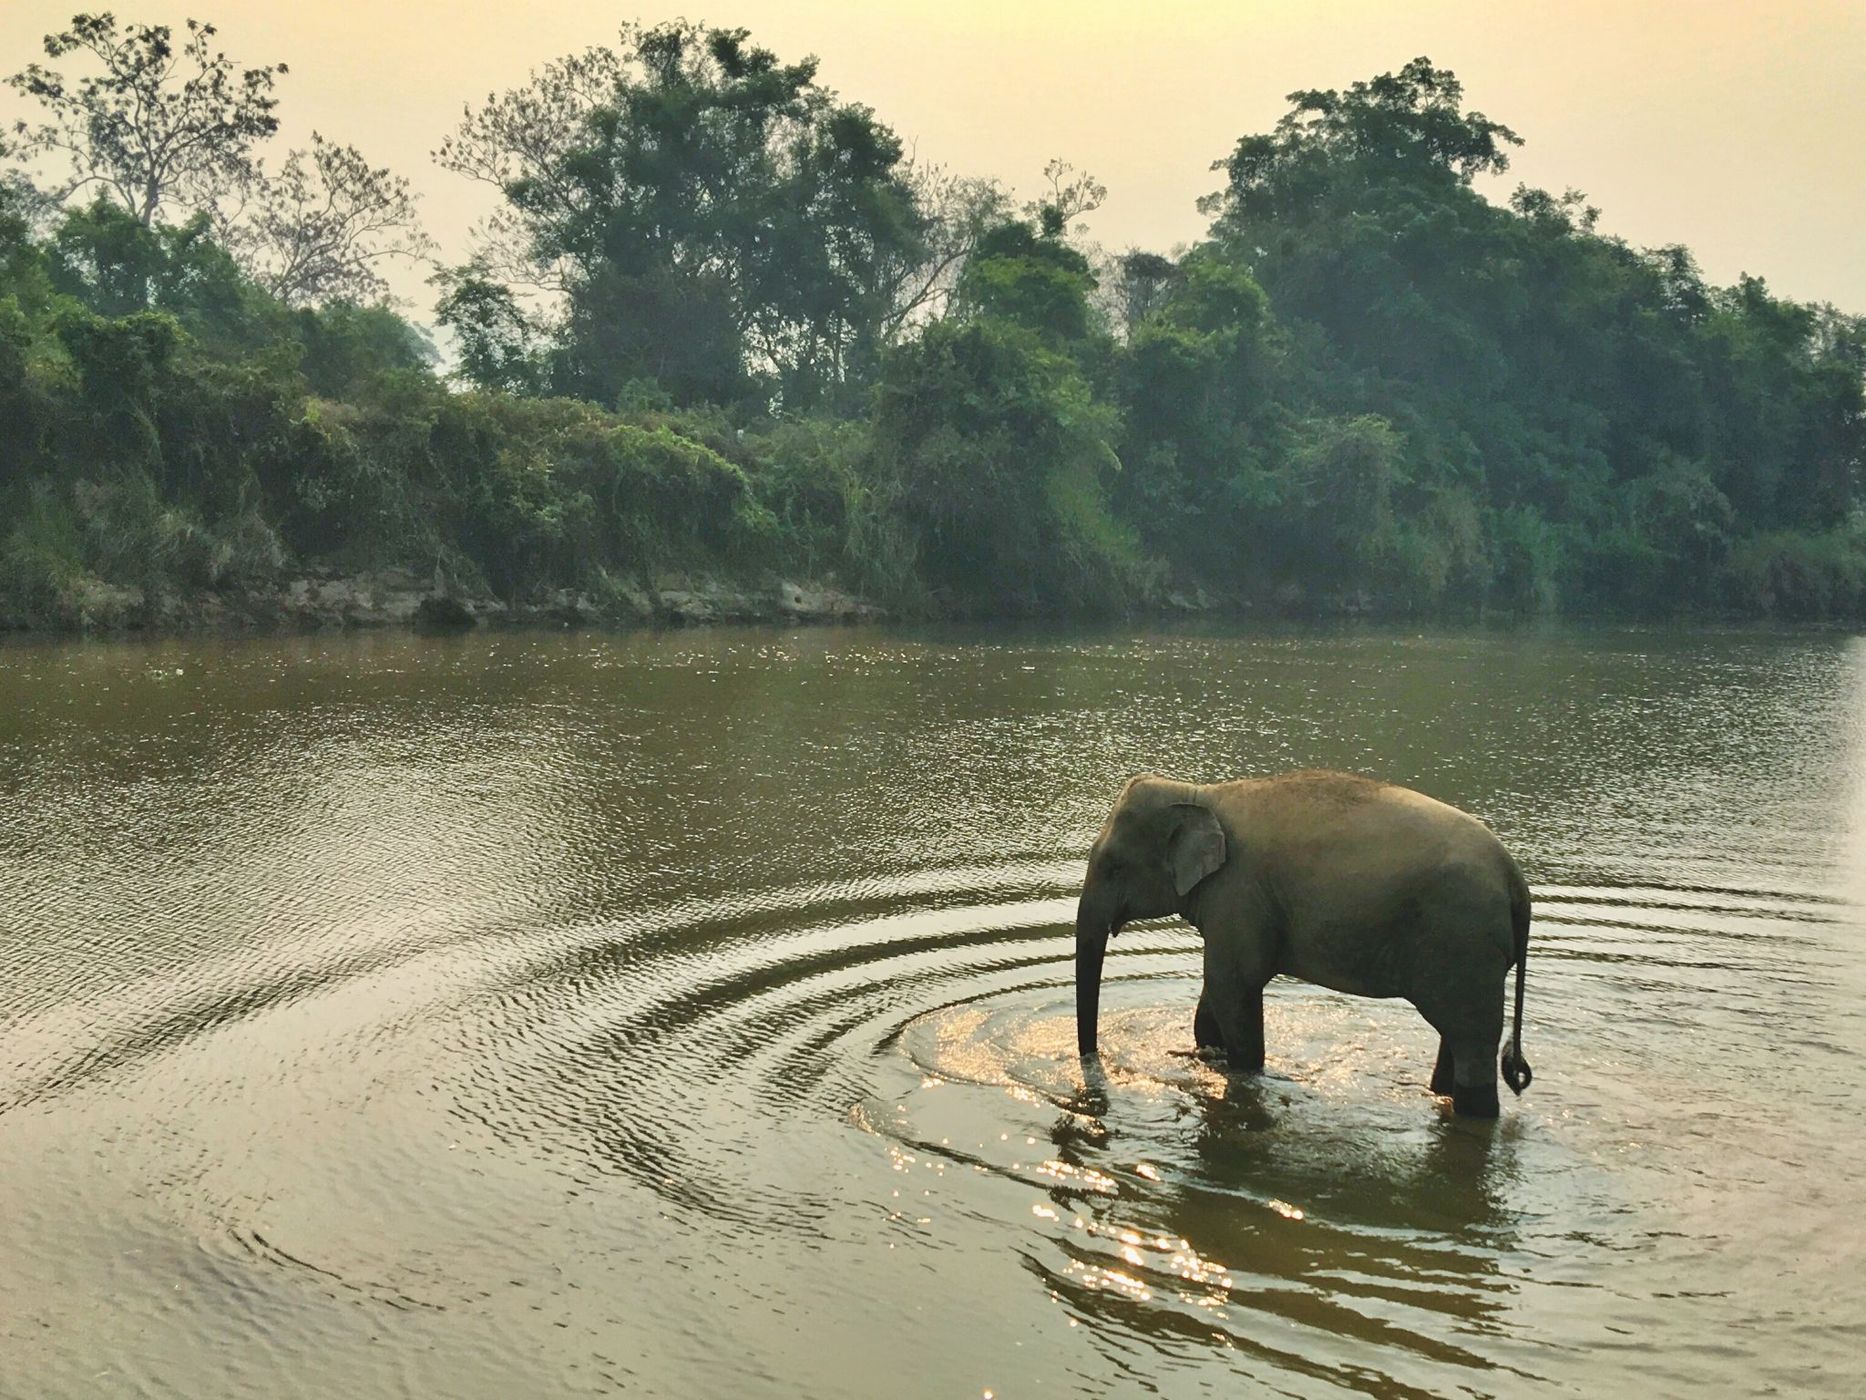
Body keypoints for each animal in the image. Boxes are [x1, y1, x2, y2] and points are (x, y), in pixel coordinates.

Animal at [1073, 770, 1533, 1118]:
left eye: (1113, 866)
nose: (1095, 1066)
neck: (1200, 794)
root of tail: (1516, 880)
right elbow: (1214, 997)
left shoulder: (1237, 895)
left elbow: (1232, 988)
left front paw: (1243, 1068)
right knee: (1454, 1036)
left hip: (1464, 943)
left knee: (1472, 1039)